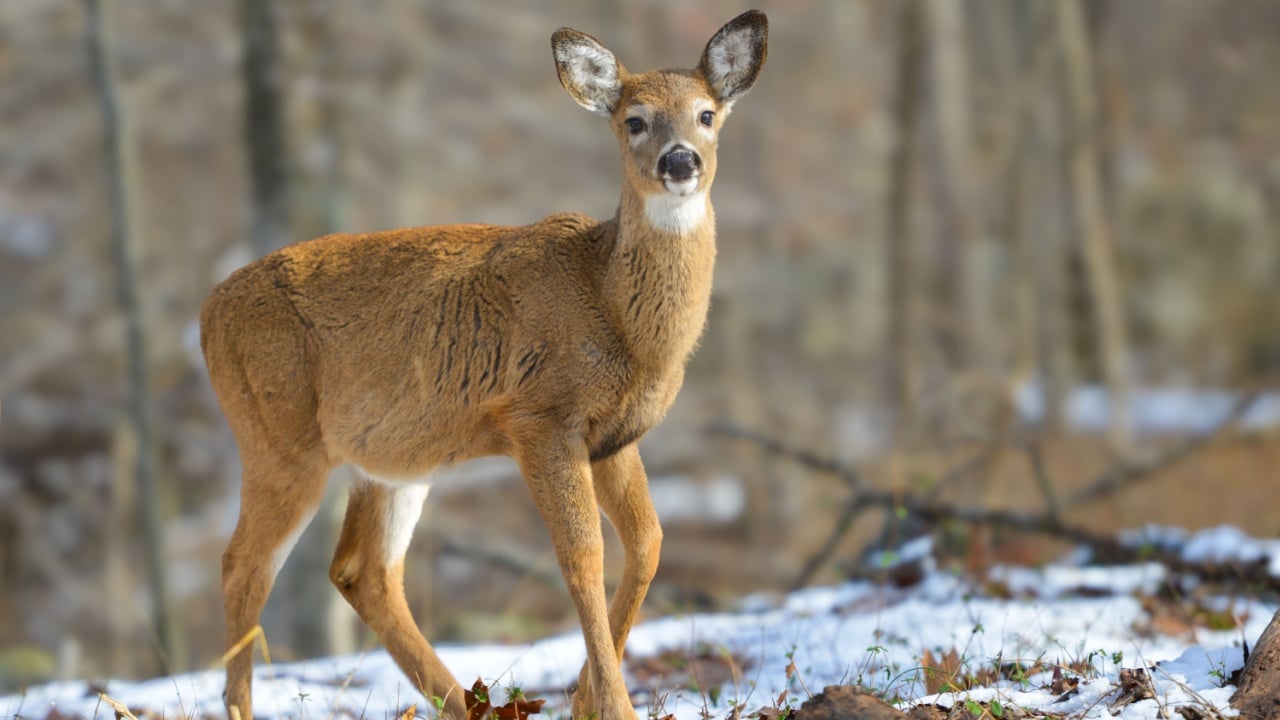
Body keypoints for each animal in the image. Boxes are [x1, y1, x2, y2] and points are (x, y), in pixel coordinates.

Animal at [200, 10, 767, 720]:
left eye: (707, 113)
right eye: (634, 120)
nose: (680, 159)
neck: (615, 310)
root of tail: (207, 313)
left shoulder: (614, 436)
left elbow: (649, 543)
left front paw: (586, 699)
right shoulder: (539, 415)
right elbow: (582, 554)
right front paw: (613, 704)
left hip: (391, 462)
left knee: (363, 572)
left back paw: (465, 702)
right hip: (277, 437)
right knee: (244, 565)